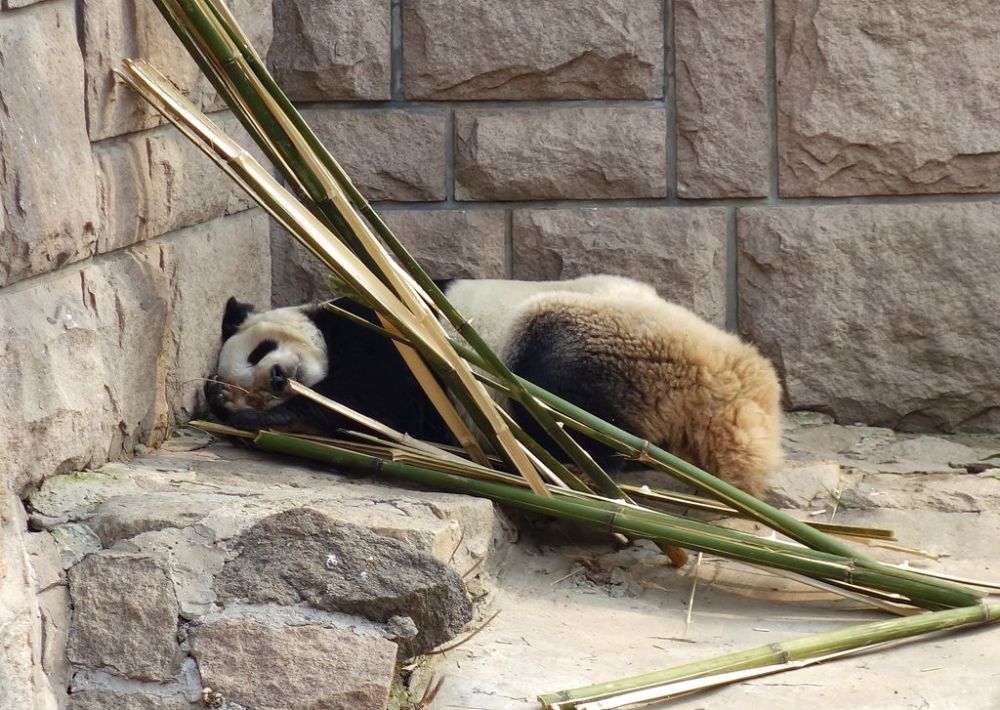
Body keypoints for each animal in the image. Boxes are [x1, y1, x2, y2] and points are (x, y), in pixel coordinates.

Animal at [207, 276, 784, 496]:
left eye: (259, 352)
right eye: (252, 378)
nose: (279, 378)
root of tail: (735, 384)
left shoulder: (391, 332)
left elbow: (379, 407)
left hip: (604, 335)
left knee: (559, 395)